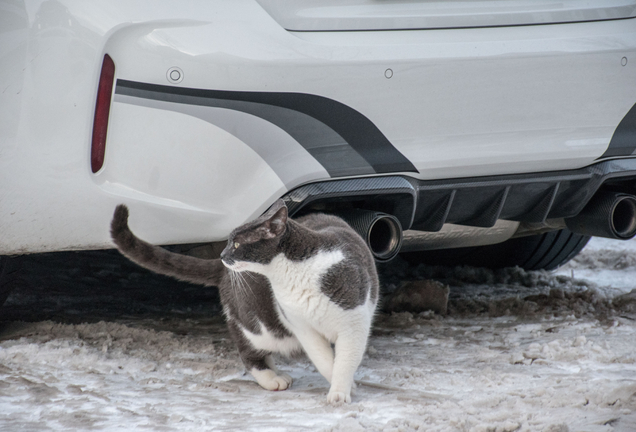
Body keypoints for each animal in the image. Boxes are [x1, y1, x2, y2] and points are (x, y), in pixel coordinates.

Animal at [110, 200, 380, 404]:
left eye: (237, 244)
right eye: (229, 242)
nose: (222, 254)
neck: (296, 272)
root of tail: (222, 272)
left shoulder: (353, 323)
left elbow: (344, 360)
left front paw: (341, 391)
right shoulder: (302, 326)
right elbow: (324, 360)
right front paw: (342, 388)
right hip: (258, 324)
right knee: (249, 351)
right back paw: (272, 379)